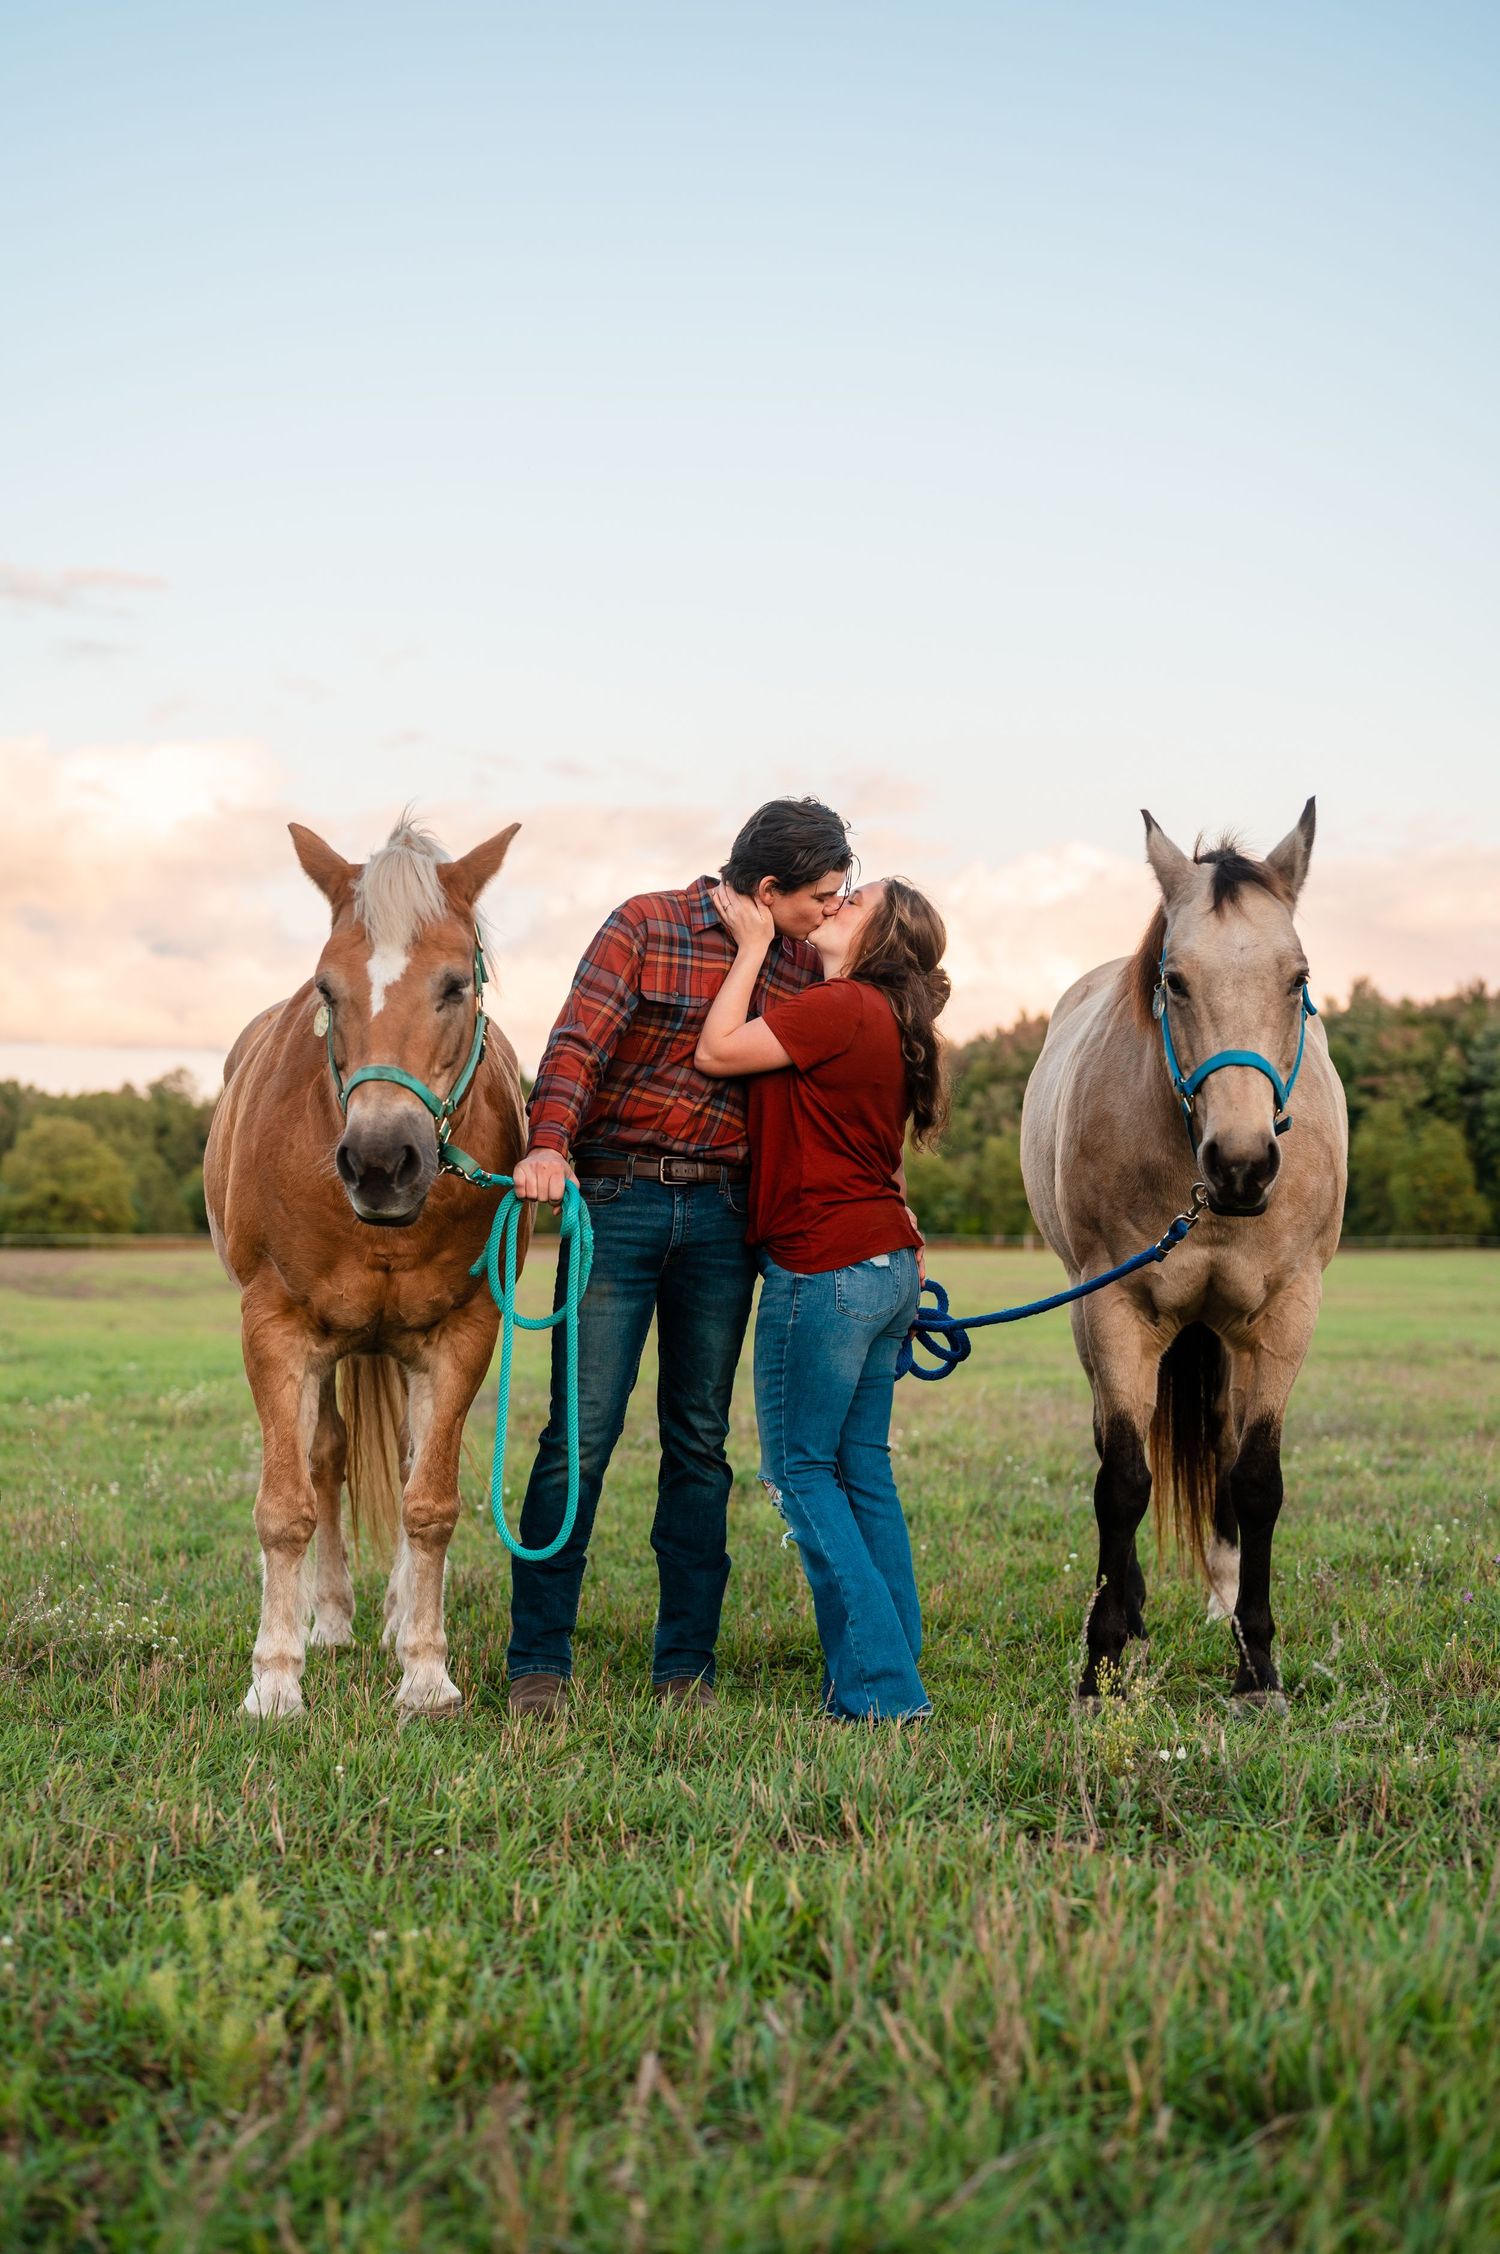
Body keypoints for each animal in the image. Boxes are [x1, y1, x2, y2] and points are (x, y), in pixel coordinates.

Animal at [204, 816, 529, 1719]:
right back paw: (335, 1620)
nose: (381, 1162)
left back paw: (392, 1618)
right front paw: (274, 1680)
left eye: (453, 986)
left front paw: (425, 1670)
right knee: (326, 1461)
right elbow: (286, 1507)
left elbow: (431, 1504)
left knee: (411, 1459)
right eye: (326, 990)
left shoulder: (463, 1336)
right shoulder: (275, 1333)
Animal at [1020, 800, 1347, 1710]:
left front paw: (1256, 1664)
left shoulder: (1286, 1316)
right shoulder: (1114, 1311)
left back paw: (1226, 1600)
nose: (1240, 1165)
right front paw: (1101, 1663)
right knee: (1115, 1450)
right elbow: (1123, 1481)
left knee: (1228, 1456)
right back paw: (1131, 1613)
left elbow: (1257, 1479)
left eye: (1298, 979)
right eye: (1175, 980)